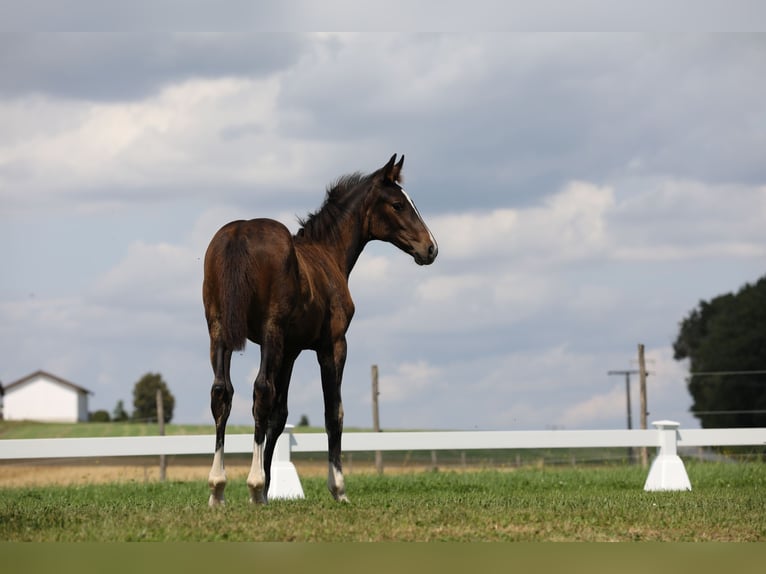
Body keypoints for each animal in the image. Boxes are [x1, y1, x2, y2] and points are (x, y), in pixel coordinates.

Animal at [201, 155, 438, 506]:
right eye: (398, 204)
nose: (431, 248)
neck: (327, 254)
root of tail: (240, 233)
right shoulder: (332, 346)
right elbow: (332, 411)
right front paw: (337, 488)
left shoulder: (290, 351)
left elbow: (279, 414)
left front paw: (268, 491)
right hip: (270, 333)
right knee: (260, 390)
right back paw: (253, 483)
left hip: (219, 330)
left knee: (222, 393)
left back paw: (218, 489)